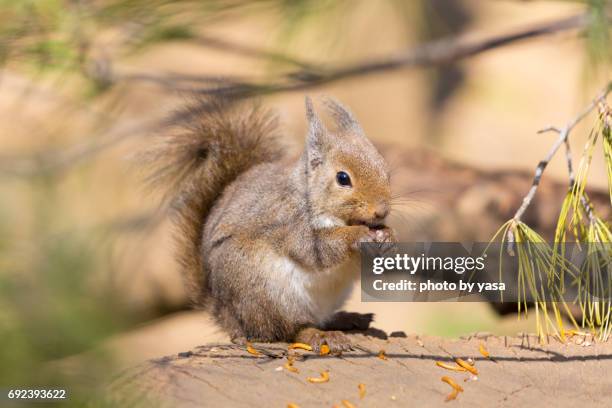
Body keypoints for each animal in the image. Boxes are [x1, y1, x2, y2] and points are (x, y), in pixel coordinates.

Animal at [146, 95, 396, 350]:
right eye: (343, 178)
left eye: (386, 171)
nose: (381, 211)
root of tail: (230, 318)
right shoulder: (289, 222)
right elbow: (316, 250)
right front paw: (359, 235)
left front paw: (388, 236)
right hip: (267, 294)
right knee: (285, 330)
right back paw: (318, 335)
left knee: (318, 320)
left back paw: (346, 318)